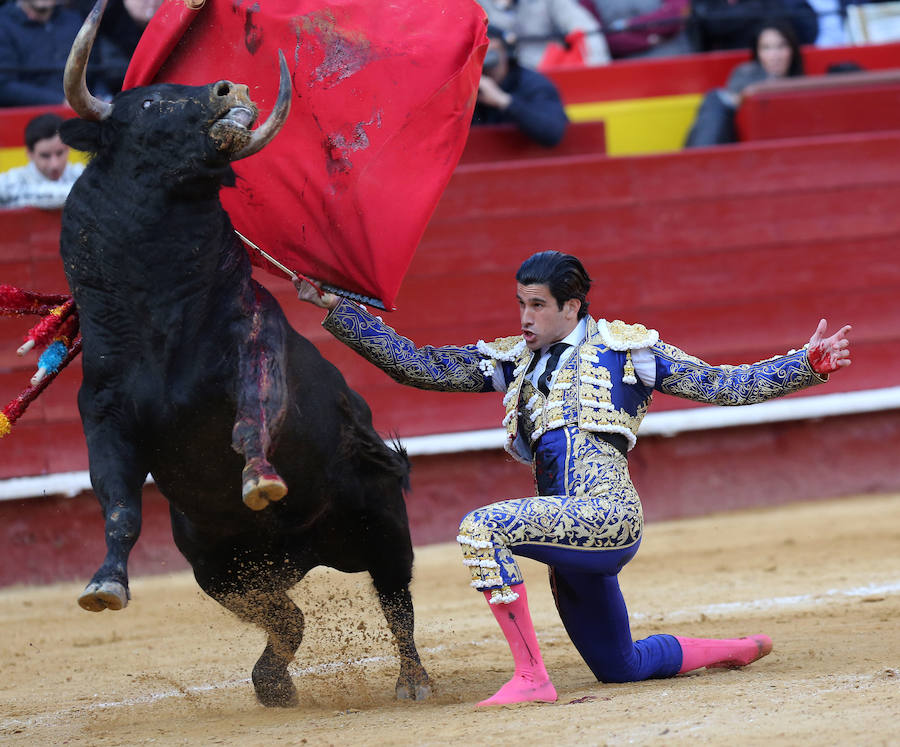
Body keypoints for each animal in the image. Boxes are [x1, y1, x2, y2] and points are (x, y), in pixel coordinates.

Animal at [58, 0, 430, 708]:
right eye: (149, 104)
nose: (228, 91)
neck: (159, 309)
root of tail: (307, 552)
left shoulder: (253, 351)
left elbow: (250, 420)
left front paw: (260, 479)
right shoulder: (103, 409)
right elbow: (117, 499)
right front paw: (104, 585)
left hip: (381, 521)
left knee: (395, 598)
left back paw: (412, 680)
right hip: (221, 569)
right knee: (288, 619)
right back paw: (273, 683)